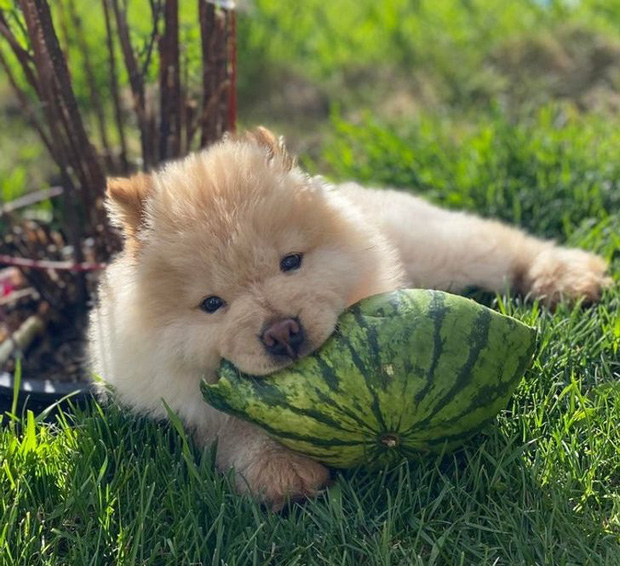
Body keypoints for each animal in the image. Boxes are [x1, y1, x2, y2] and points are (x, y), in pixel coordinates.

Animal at [88, 127, 612, 510]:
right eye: (212, 304)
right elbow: (230, 427)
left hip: (442, 249)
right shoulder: (177, 393)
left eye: (291, 262)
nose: (282, 331)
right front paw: (282, 473)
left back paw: (569, 277)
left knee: (505, 244)